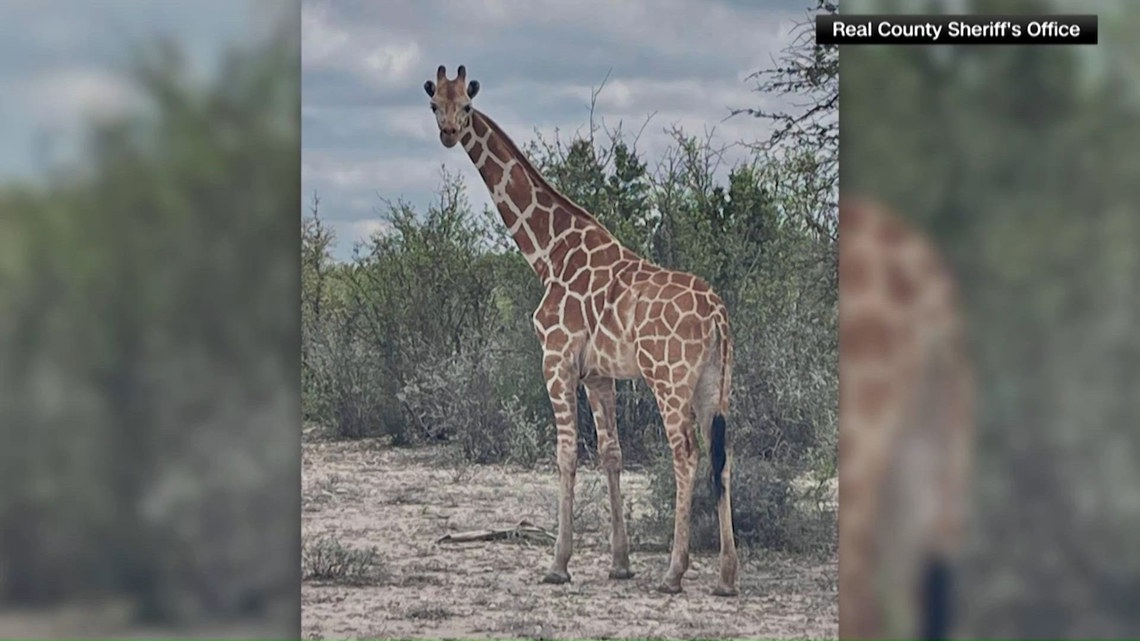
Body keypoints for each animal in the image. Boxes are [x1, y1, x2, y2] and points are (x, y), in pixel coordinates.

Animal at [423, 65, 738, 596]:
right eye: (434, 104)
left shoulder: (556, 359)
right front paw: (620, 562)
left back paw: (674, 572)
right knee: (723, 455)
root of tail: (717, 314)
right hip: (715, 383)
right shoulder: (598, 373)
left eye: (466, 104)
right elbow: (611, 454)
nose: (447, 133)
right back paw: (726, 576)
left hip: (669, 379)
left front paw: (558, 563)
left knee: (686, 454)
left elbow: (566, 453)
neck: (548, 252)